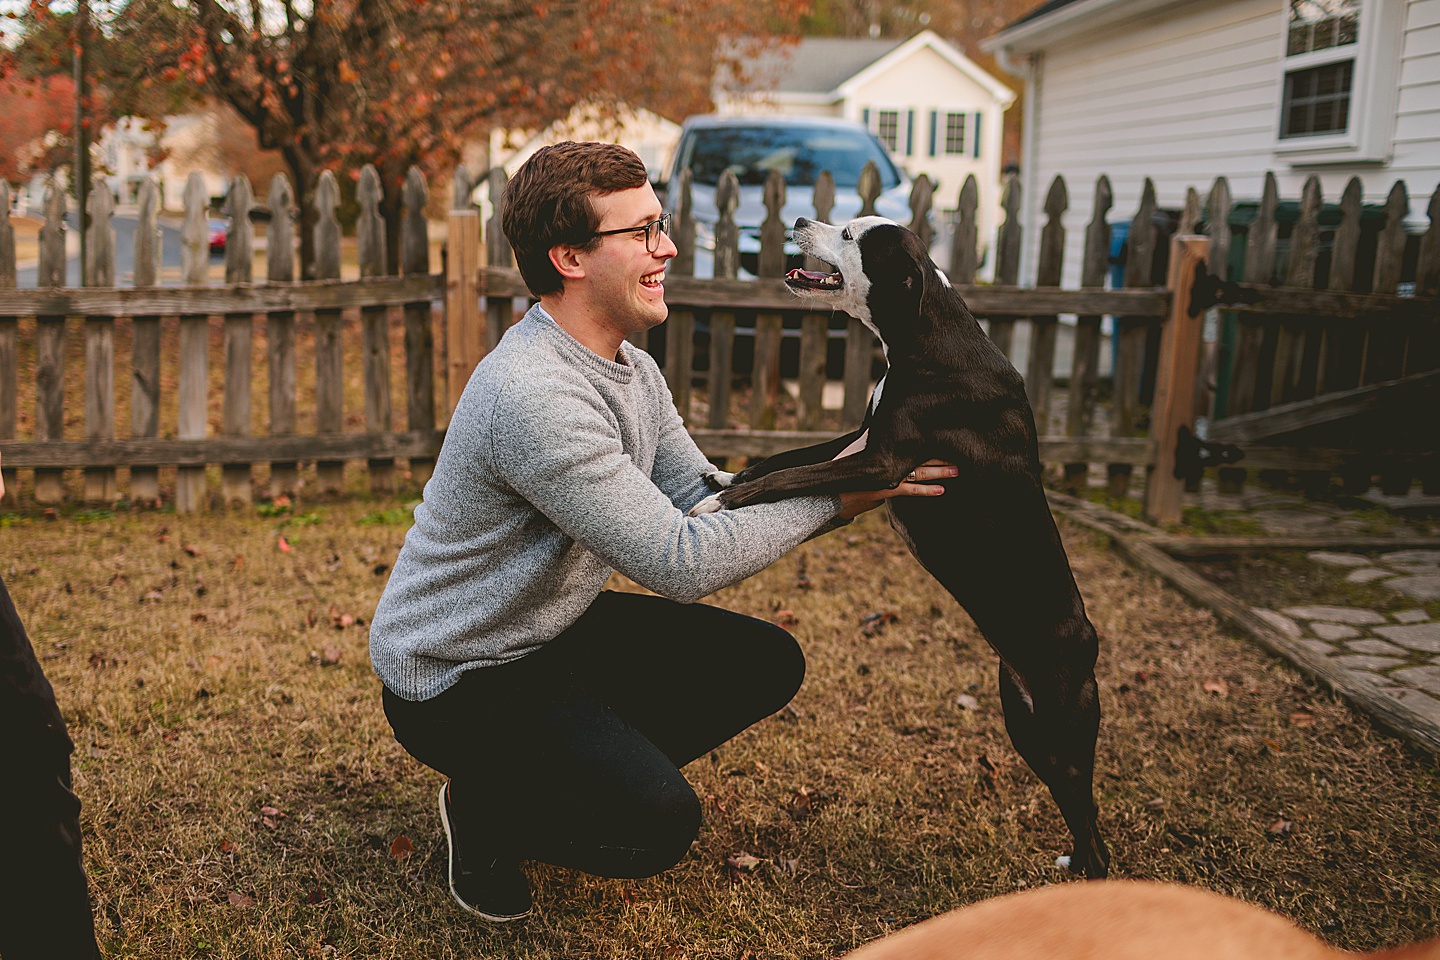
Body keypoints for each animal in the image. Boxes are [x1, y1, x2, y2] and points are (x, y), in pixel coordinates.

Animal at [691, 217, 1105, 880]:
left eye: (850, 235)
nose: (802, 220)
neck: (924, 334)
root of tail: (1089, 638)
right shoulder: (858, 436)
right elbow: (786, 458)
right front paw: (729, 477)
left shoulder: (880, 460)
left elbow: (791, 476)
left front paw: (723, 502)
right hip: (1026, 727)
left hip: (1063, 735)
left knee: (1093, 830)